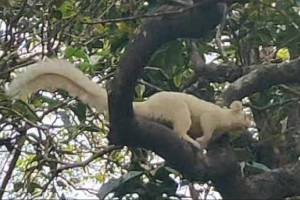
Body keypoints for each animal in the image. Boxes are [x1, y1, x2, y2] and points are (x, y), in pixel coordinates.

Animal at [5, 59, 252, 148]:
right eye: (245, 116)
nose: (249, 125)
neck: (226, 117)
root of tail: (148, 105)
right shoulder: (212, 118)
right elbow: (208, 126)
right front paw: (203, 140)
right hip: (178, 110)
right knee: (180, 128)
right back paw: (190, 140)